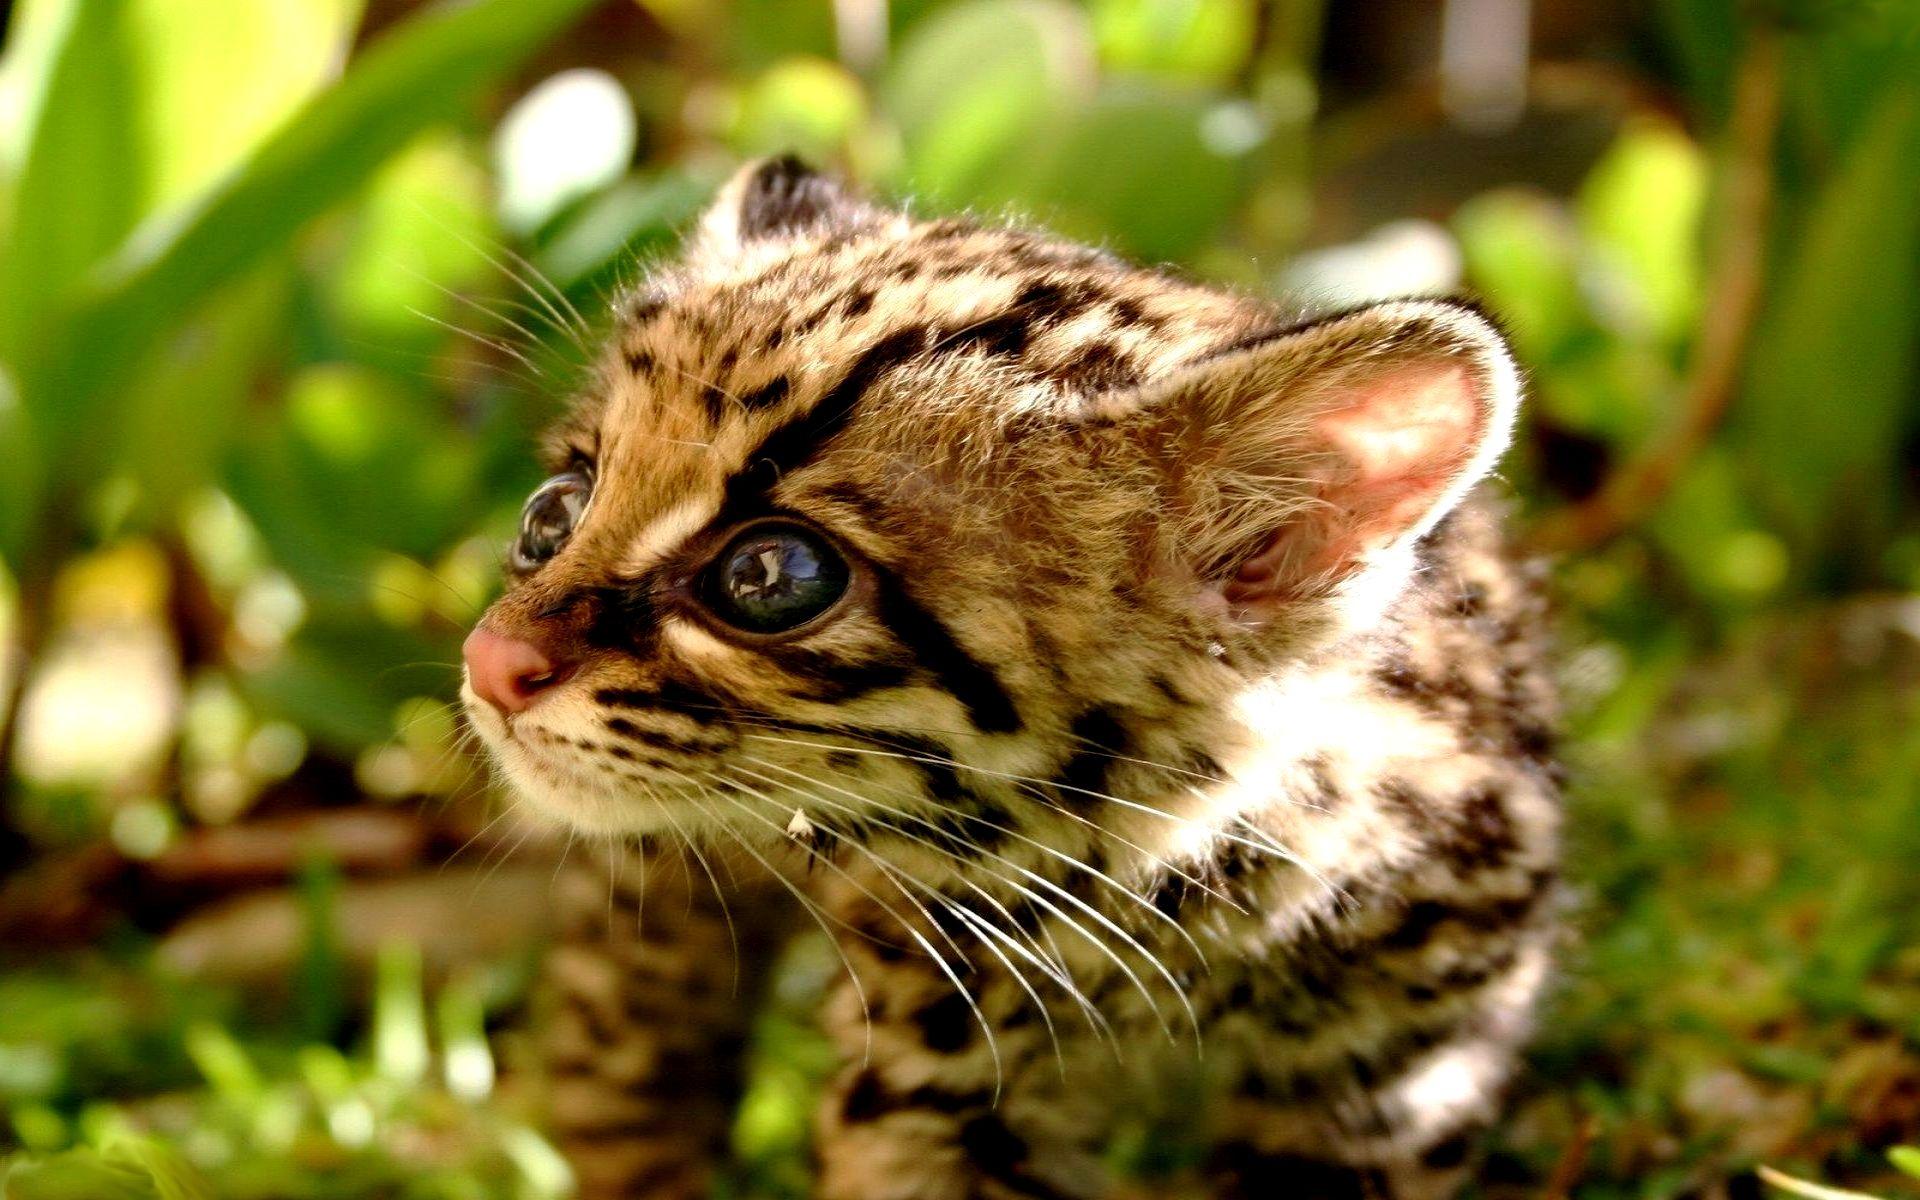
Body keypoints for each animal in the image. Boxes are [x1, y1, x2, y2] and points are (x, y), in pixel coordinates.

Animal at [460, 159, 1559, 1198]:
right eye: (553, 512)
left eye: (770, 575)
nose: (489, 662)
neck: (1178, 888)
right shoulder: (937, 1085)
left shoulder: (1400, 1071)